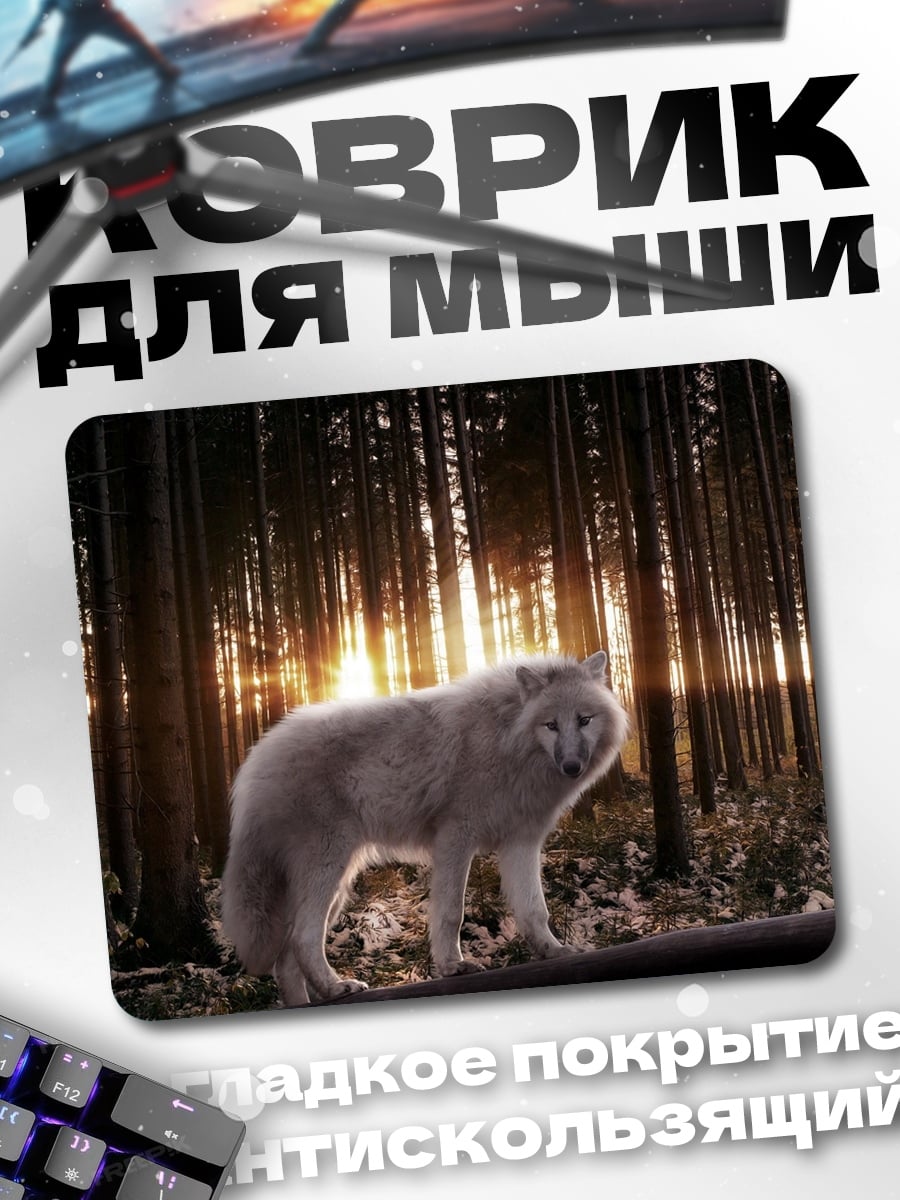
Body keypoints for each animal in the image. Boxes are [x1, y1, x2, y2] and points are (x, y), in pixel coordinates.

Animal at [220, 651, 628, 1005]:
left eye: (584, 720)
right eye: (551, 725)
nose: (572, 766)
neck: (506, 738)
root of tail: (256, 759)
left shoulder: (521, 843)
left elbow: (534, 910)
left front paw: (554, 951)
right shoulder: (455, 839)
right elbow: (451, 913)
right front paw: (452, 967)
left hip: (337, 882)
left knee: (287, 957)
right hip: (328, 869)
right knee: (304, 938)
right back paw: (337, 987)